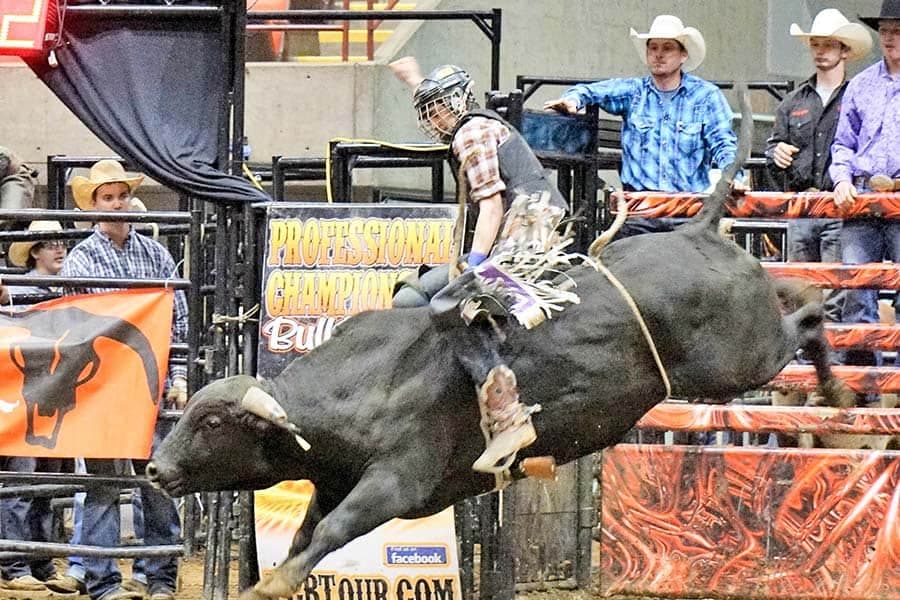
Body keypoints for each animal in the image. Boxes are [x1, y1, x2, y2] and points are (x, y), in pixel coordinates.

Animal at [146, 91, 850, 600]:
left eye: (212, 423)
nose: (154, 469)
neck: (361, 388)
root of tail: (699, 228)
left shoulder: (396, 482)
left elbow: (335, 532)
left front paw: (271, 585)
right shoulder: (331, 483)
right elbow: (307, 534)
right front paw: (277, 575)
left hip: (740, 359)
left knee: (807, 319)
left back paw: (838, 389)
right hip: (749, 325)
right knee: (797, 289)